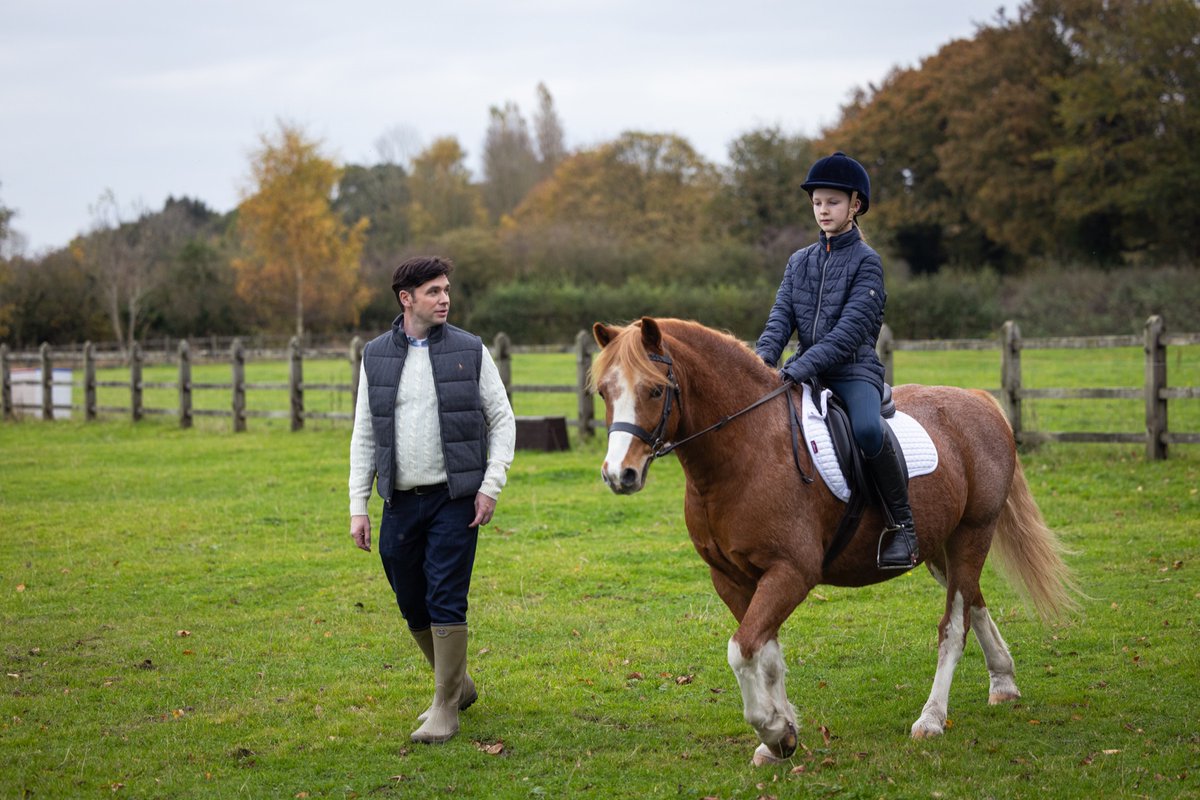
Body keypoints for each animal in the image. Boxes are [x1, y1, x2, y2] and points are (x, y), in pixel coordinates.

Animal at [590, 317, 1076, 766]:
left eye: (655, 391)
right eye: (604, 393)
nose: (619, 475)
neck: (746, 451)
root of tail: (978, 401)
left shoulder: (791, 572)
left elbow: (742, 651)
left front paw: (771, 730)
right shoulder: (731, 578)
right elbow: (765, 653)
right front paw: (782, 736)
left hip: (973, 535)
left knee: (954, 626)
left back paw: (932, 719)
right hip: (941, 548)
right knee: (974, 602)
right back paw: (1004, 683)